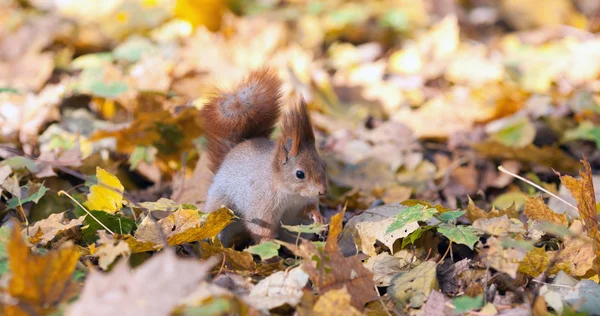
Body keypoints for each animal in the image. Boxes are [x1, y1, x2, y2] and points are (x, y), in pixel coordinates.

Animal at [199, 68, 326, 247]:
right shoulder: (262, 203)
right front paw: (269, 245)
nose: (322, 191)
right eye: (300, 174)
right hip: (220, 208)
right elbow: (260, 228)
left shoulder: (303, 203)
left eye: (323, 165)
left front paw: (319, 217)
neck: (291, 194)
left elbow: (309, 209)